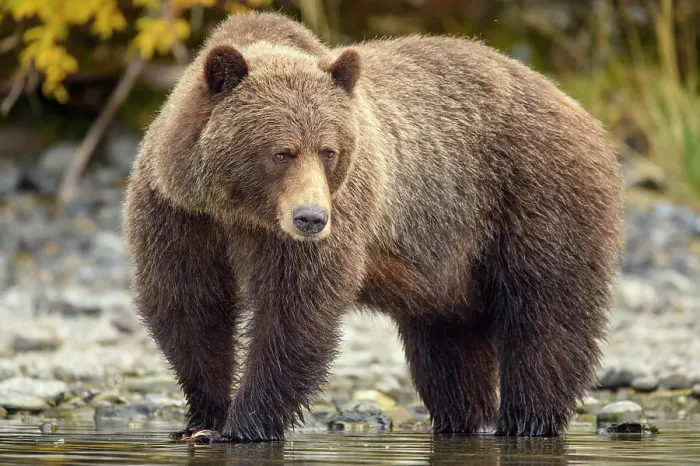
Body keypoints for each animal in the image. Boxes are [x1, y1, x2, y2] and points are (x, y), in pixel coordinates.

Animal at [123, 11, 623, 442]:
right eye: (281, 152)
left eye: (328, 151)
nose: (310, 218)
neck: (240, 212)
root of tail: (578, 109)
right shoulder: (180, 215)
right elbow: (188, 304)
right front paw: (203, 418)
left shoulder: (331, 220)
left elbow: (295, 312)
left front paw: (245, 425)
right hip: (449, 260)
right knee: (447, 344)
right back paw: (459, 418)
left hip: (535, 197)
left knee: (546, 314)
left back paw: (528, 421)